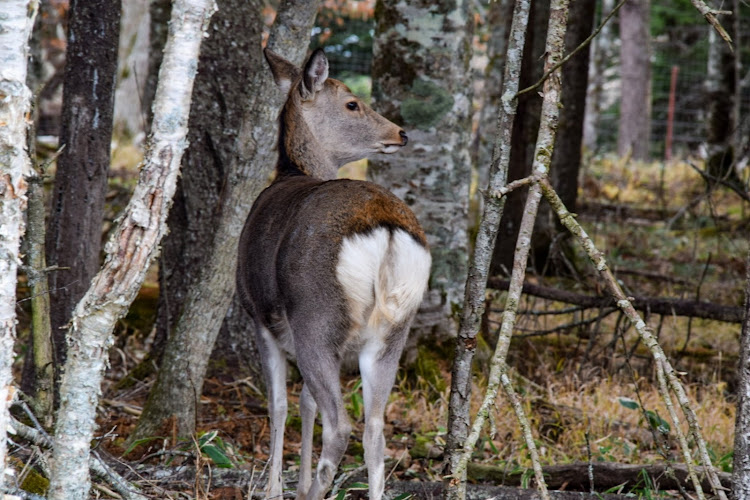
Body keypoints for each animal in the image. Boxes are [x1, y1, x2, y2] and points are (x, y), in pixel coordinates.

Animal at [238, 47, 432, 500]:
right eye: (352, 103)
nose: (401, 133)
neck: (293, 170)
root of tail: (386, 230)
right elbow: (304, 403)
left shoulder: (258, 314)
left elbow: (280, 405)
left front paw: (276, 489)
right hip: (395, 328)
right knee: (375, 428)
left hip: (317, 314)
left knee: (340, 425)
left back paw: (314, 490)